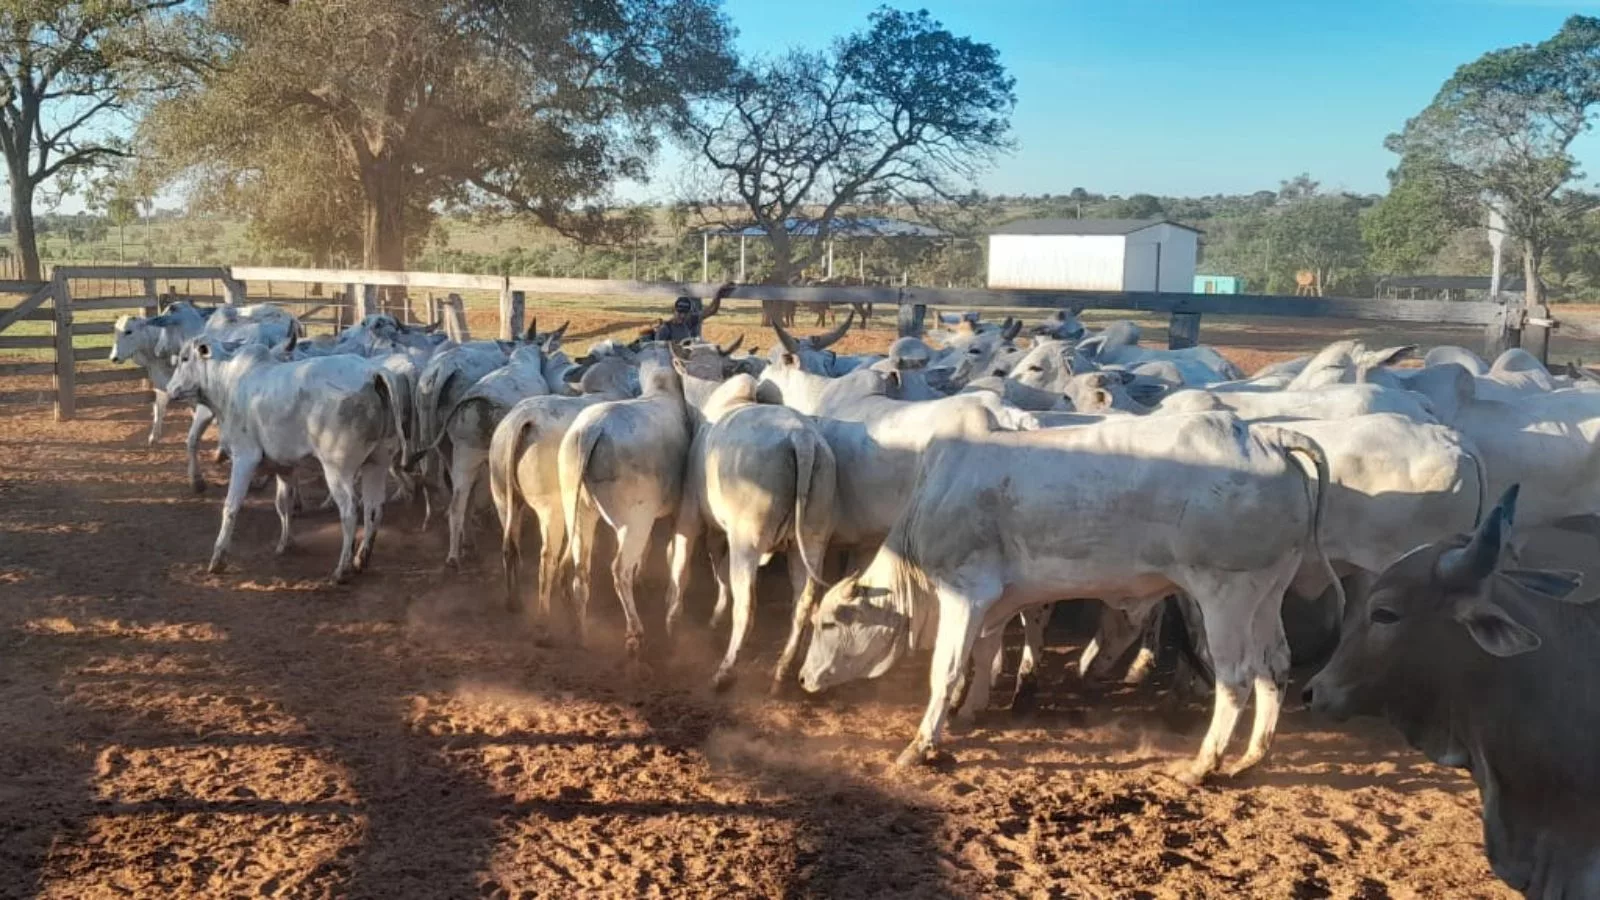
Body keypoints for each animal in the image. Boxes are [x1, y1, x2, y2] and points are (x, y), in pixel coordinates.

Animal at [164, 336, 406, 582]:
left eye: (185, 358)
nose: (170, 389)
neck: (229, 382)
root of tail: (373, 372)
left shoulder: (244, 457)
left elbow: (231, 506)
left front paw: (218, 558)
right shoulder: (284, 467)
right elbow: (283, 505)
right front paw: (285, 544)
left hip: (337, 469)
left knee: (349, 512)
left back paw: (341, 570)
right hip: (377, 463)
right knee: (374, 509)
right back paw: (361, 559)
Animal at [800, 409, 1337, 781]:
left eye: (828, 622)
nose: (804, 679)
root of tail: (1267, 437)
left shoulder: (965, 592)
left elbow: (947, 670)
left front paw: (921, 745)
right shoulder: (992, 602)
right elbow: (984, 652)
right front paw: (971, 710)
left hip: (1227, 595)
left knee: (1236, 678)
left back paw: (1202, 766)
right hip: (1267, 593)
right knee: (1275, 667)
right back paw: (1251, 758)